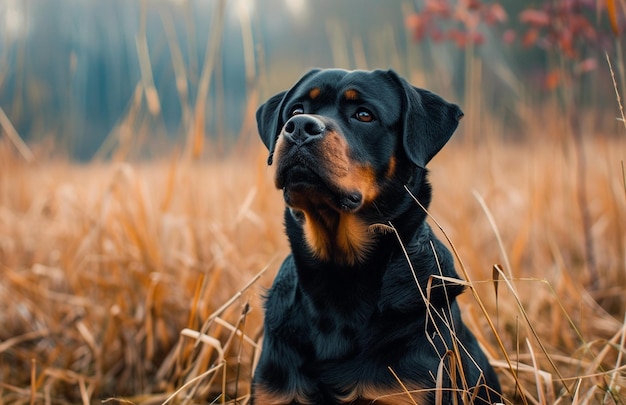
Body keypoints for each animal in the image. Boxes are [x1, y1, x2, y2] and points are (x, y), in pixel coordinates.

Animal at [251, 68, 500, 402]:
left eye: (364, 115)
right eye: (295, 110)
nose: (300, 127)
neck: (340, 277)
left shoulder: (407, 388)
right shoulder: (276, 392)